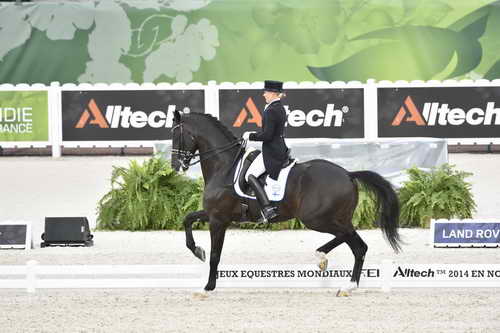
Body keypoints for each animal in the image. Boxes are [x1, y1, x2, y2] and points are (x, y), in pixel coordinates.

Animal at [170, 109, 400, 296]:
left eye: (176, 135)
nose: (175, 166)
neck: (224, 166)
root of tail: (348, 174)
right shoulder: (213, 214)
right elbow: (187, 220)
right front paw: (198, 251)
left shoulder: (218, 219)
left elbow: (215, 254)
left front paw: (207, 287)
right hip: (336, 217)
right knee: (356, 243)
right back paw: (339, 277)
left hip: (316, 218)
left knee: (353, 241)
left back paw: (335, 271)